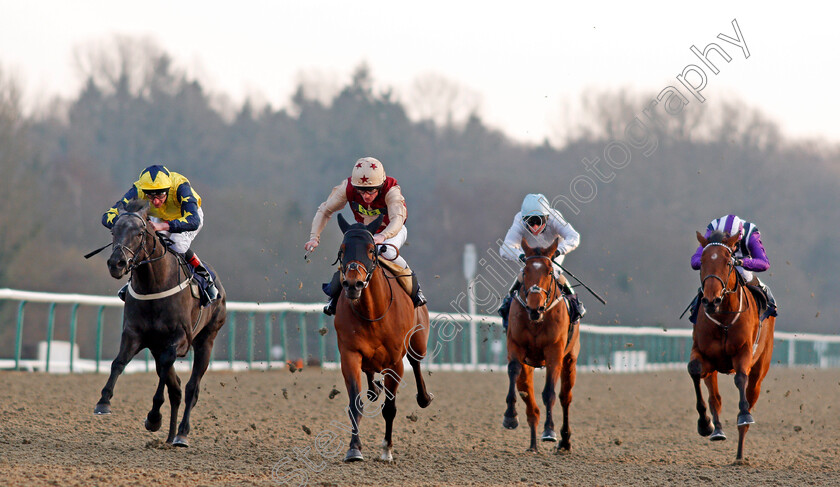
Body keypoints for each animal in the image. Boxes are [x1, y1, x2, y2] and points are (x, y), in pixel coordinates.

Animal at [92, 200, 226, 448]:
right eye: (114, 231)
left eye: (139, 233)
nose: (116, 263)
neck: (153, 284)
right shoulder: (135, 334)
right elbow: (118, 362)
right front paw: (104, 402)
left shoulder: (178, 340)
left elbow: (166, 372)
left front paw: (154, 418)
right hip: (157, 346)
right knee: (177, 388)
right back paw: (170, 436)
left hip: (206, 340)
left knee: (192, 388)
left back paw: (181, 434)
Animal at [332, 215, 434, 464]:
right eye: (342, 249)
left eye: (371, 249)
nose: (353, 284)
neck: (371, 312)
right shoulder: (349, 354)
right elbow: (354, 403)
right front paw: (354, 448)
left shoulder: (395, 362)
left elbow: (390, 408)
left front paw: (386, 449)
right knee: (370, 373)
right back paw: (373, 389)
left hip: (418, 341)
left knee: (416, 362)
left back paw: (424, 397)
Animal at [502, 237, 580, 454]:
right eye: (525, 271)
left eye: (550, 271)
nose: (534, 307)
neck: (537, 320)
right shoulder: (515, 345)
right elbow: (513, 370)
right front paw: (510, 416)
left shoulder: (554, 351)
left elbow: (549, 392)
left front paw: (550, 431)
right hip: (528, 367)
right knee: (530, 402)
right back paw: (532, 445)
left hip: (570, 360)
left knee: (565, 397)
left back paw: (565, 440)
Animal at [688, 231, 776, 464]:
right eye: (701, 262)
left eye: (728, 262)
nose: (711, 300)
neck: (723, 317)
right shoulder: (704, 355)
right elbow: (695, 371)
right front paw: (705, 424)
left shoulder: (743, 352)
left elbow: (740, 379)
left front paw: (744, 415)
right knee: (715, 398)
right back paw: (717, 430)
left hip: (760, 368)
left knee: (750, 393)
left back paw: (739, 454)